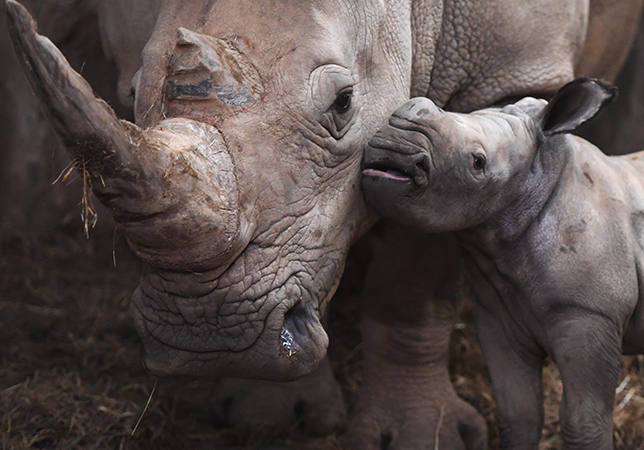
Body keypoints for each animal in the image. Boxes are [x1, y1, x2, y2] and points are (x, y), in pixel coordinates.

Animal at [362, 78, 644, 449]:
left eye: (478, 162)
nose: (389, 147)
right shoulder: (498, 312)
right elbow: (517, 414)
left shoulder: (589, 312)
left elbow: (584, 422)